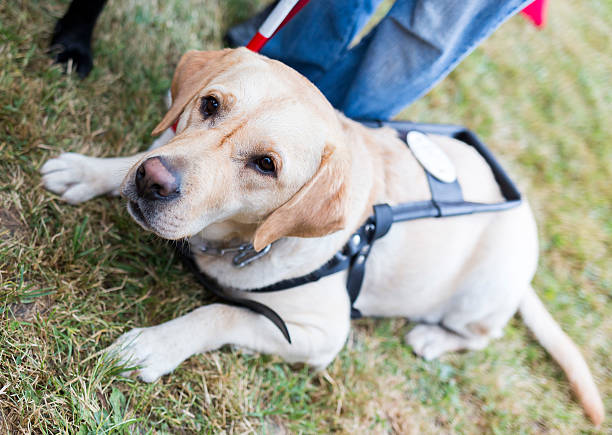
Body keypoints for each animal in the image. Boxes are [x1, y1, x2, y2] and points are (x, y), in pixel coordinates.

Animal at [40, 47, 604, 426]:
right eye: (210, 104)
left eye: (266, 165)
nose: (153, 182)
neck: (236, 241)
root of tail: (525, 218)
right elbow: (140, 153)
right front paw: (91, 171)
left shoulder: (319, 333)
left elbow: (218, 312)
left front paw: (153, 345)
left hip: (481, 297)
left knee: (481, 335)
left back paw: (433, 337)